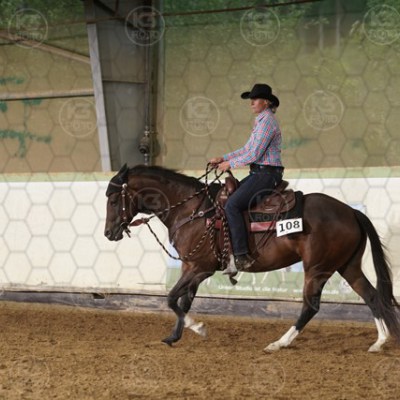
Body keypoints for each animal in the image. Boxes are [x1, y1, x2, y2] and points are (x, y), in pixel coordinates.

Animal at [104, 164, 400, 352]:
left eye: (112, 200)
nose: (109, 233)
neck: (193, 210)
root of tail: (351, 212)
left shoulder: (198, 268)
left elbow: (171, 299)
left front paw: (197, 327)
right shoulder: (194, 269)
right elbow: (183, 301)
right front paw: (174, 336)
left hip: (317, 268)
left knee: (311, 306)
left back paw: (279, 343)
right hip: (346, 265)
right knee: (371, 295)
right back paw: (379, 342)